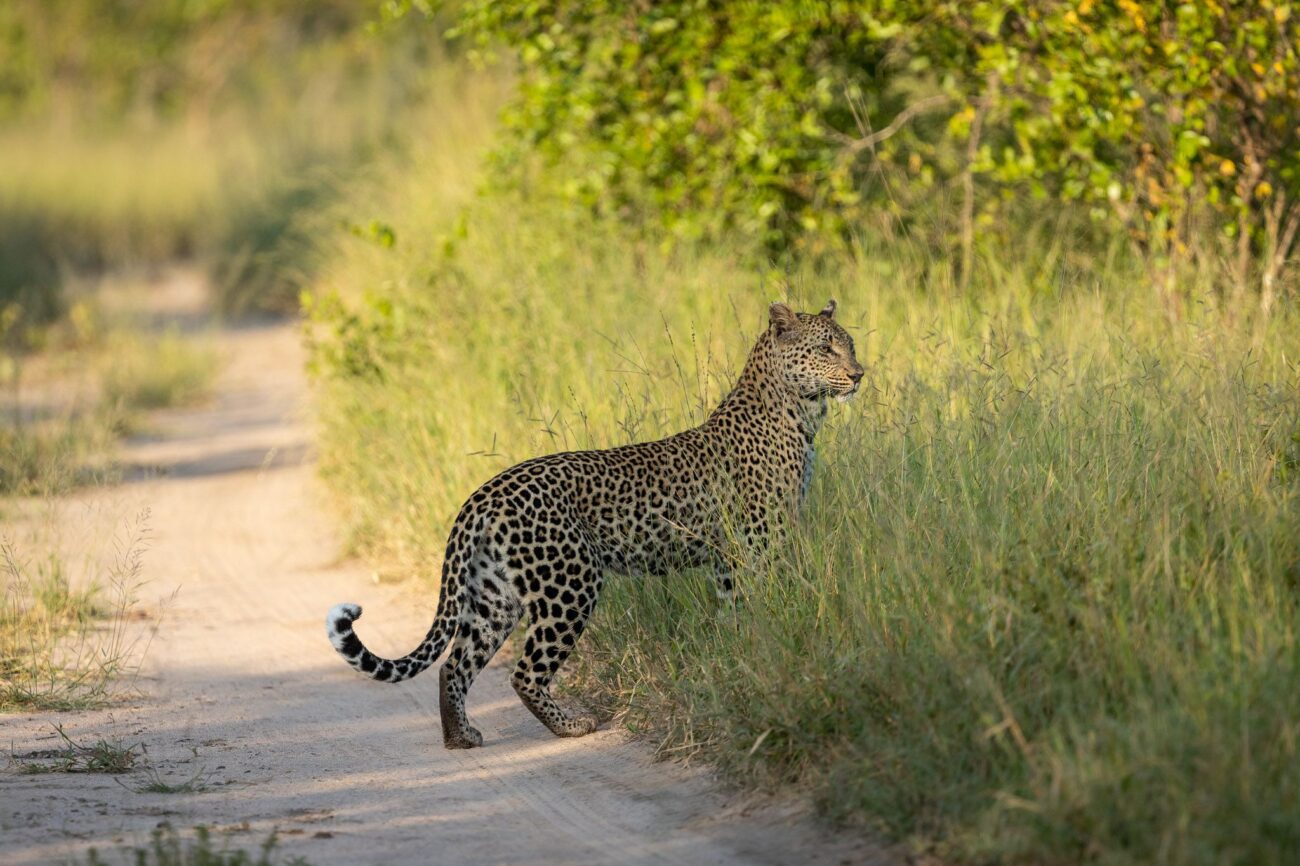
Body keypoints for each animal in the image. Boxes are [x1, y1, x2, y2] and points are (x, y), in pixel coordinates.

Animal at [330, 300, 863, 743]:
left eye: (850, 344)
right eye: (826, 348)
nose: (859, 374)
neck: (799, 414)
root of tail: (483, 495)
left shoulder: (727, 558)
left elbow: (732, 611)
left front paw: (739, 654)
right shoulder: (759, 541)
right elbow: (763, 601)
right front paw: (765, 645)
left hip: (493, 596)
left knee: (454, 665)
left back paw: (460, 737)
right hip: (570, 582)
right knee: (524, 671)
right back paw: (570, 726)